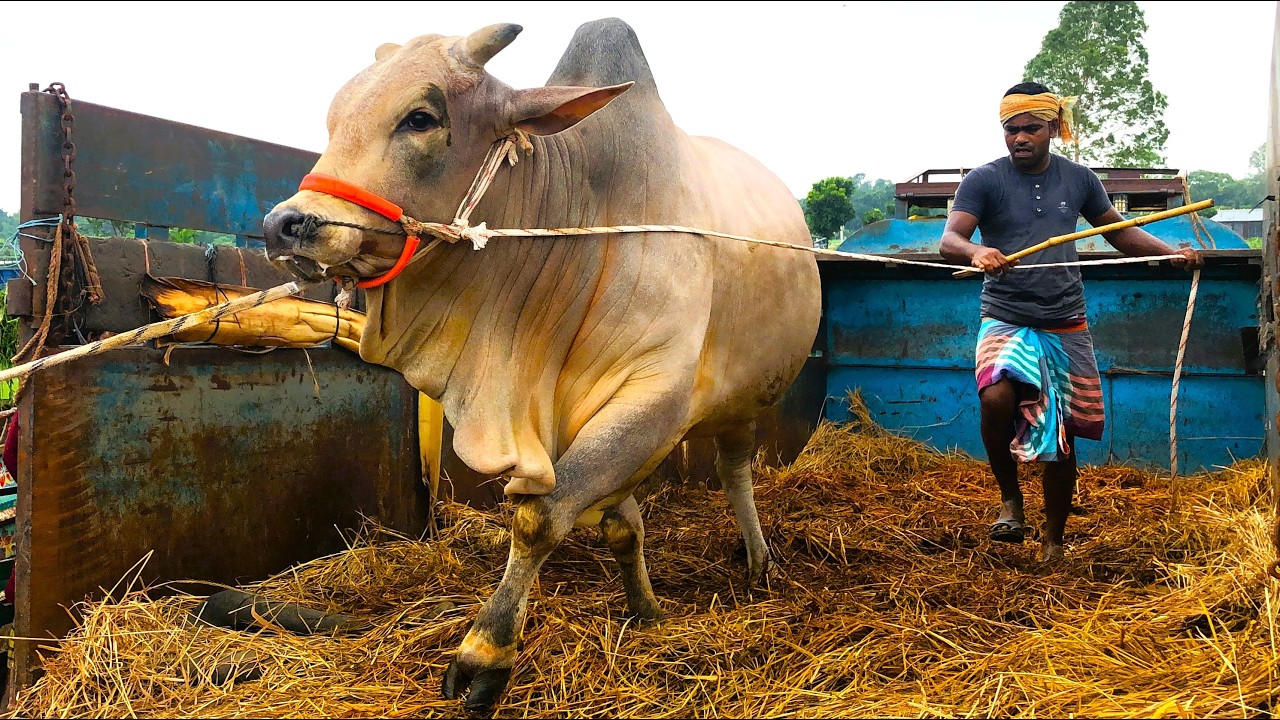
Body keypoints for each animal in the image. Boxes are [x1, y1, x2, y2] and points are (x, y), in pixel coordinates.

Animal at [262, 17, 821, 713]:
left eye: (421, 118)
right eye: (334, 116)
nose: (284, 225)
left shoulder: (655, 397)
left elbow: (538, 517)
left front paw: (485, 652)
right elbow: (619, 522)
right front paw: (645, 610)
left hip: (746, 400)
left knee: (735, 470)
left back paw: (758, 561)